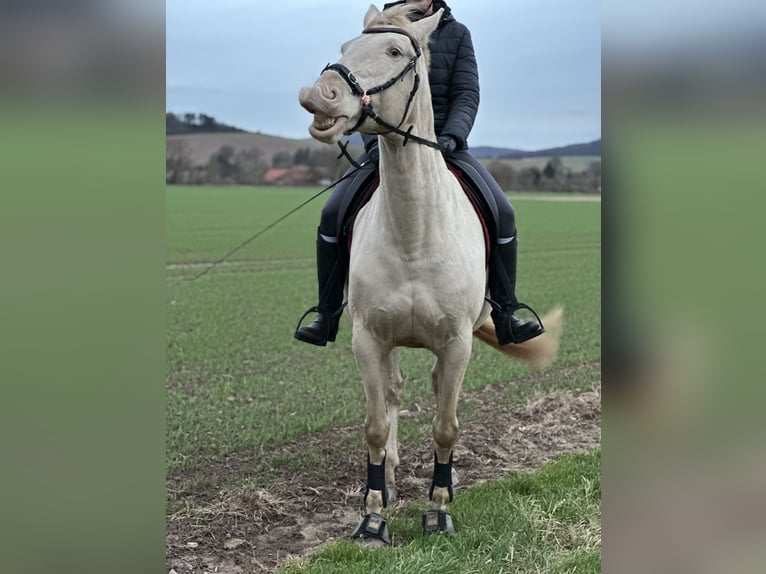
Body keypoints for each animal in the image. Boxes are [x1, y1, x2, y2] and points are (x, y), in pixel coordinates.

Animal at [296, 4, 560, 544]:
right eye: (345, 48)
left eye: (396, 51)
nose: (317, 96)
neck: (413, 232)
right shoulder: (368, 339)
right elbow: (376, 425)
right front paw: (373, 514)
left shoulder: (457, 343)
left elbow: (445, 426)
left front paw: (438, 509)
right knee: (397, 393)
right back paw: (392, 478)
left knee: (440, 392)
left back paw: (447, 483)